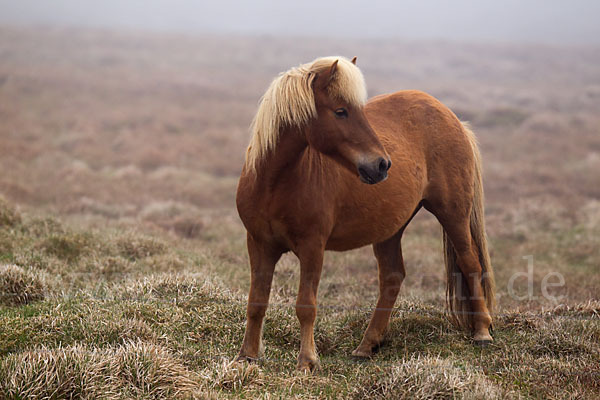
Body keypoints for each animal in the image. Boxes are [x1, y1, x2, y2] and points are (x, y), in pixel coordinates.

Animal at [237, 56, 494, 372]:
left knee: (471, 264)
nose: (382, 165)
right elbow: (256, 302)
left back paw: (482, 332)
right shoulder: (259, 244)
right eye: (341, 111)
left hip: (453, 214)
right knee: (392, 278)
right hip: (390, 229)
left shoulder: (312, 248)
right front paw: (247, 356)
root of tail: (454, 120)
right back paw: (366, 346)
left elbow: (306, 305)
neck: (274, 183)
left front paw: (307, 361)